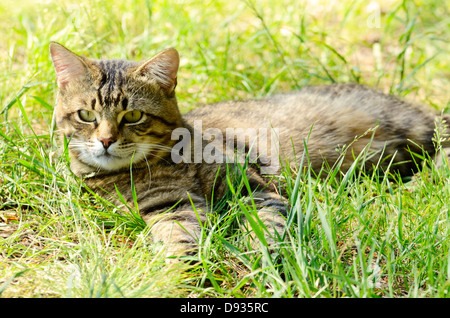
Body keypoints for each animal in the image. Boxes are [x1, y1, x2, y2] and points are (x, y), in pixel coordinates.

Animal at [50, 41, 450, 260]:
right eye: (86, 115)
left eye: (132, 115)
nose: (105, 140)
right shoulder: (168, 207)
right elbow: (179, 238)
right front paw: (178, 271)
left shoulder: (254, 188)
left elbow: (266, 226)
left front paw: (263, 256)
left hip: (414, 129)